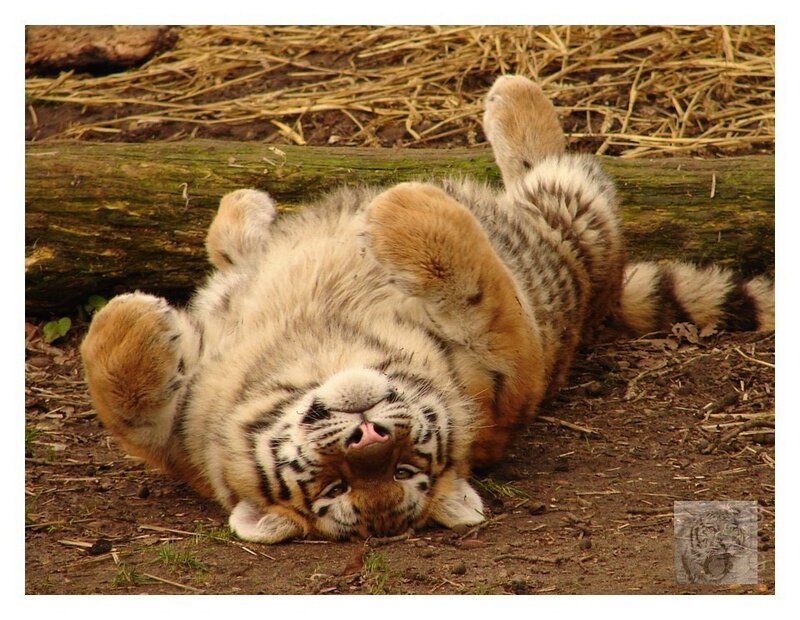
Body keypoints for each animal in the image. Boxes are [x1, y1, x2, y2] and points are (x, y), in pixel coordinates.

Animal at [80, 75, 774, 543]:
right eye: (337, 486)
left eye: (406, 466)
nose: (367, 437)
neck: (318, 349)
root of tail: (601, 299)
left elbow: (116, 391)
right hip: (573, 217)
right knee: (554, 166)